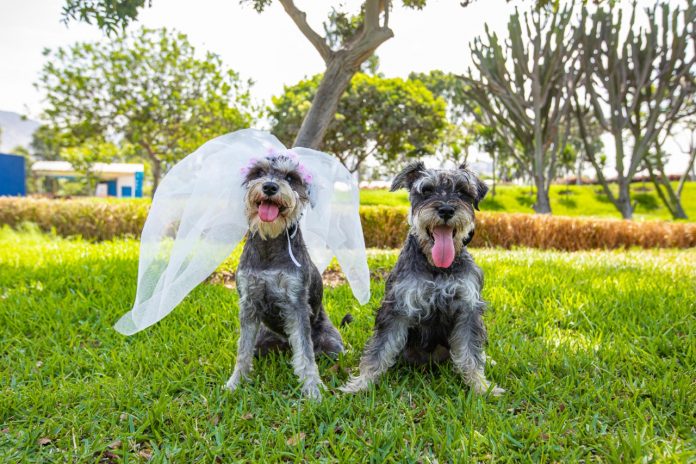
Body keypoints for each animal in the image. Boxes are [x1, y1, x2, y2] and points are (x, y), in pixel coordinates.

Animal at [226, 152, 346, 398]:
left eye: (291, 177)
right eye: (258, 172)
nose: (270, 187)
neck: (269, 245)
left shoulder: (296, 303)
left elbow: (306, 354)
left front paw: (313, 389)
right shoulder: (249, 304)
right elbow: (243, 351)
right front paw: (235, 383)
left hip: (332, 343)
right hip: (262, 341)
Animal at [340, 161, 502, 396]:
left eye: (463, 191)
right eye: (426, 190)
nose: (446, 209)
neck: (437, 267)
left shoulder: (467, 308)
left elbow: (470, 352)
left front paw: (481, 386)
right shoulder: (397, 307)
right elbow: (379, 349)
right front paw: (361, 383)